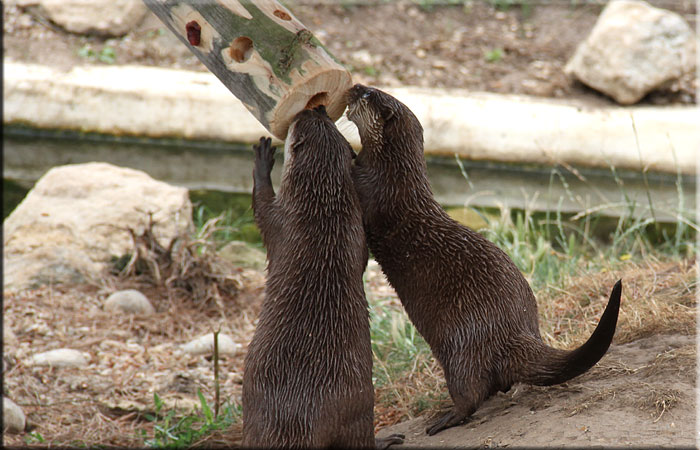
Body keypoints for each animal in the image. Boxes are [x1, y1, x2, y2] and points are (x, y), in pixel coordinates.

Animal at [242, 106, 403, 448]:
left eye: (302, 120)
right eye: (328, 120)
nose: (314, 106)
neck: (323, 213)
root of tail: (304, 418)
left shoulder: (280, 218)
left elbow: (261, 202)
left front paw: (263, 158)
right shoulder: (355, 231)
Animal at [346, 84, 622, 436]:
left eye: (368, 94)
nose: (354, 87)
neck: (393, 176)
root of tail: (517, 333)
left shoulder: (373, 191)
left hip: (463, 348)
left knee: (471, 393)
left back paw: (445, 419)